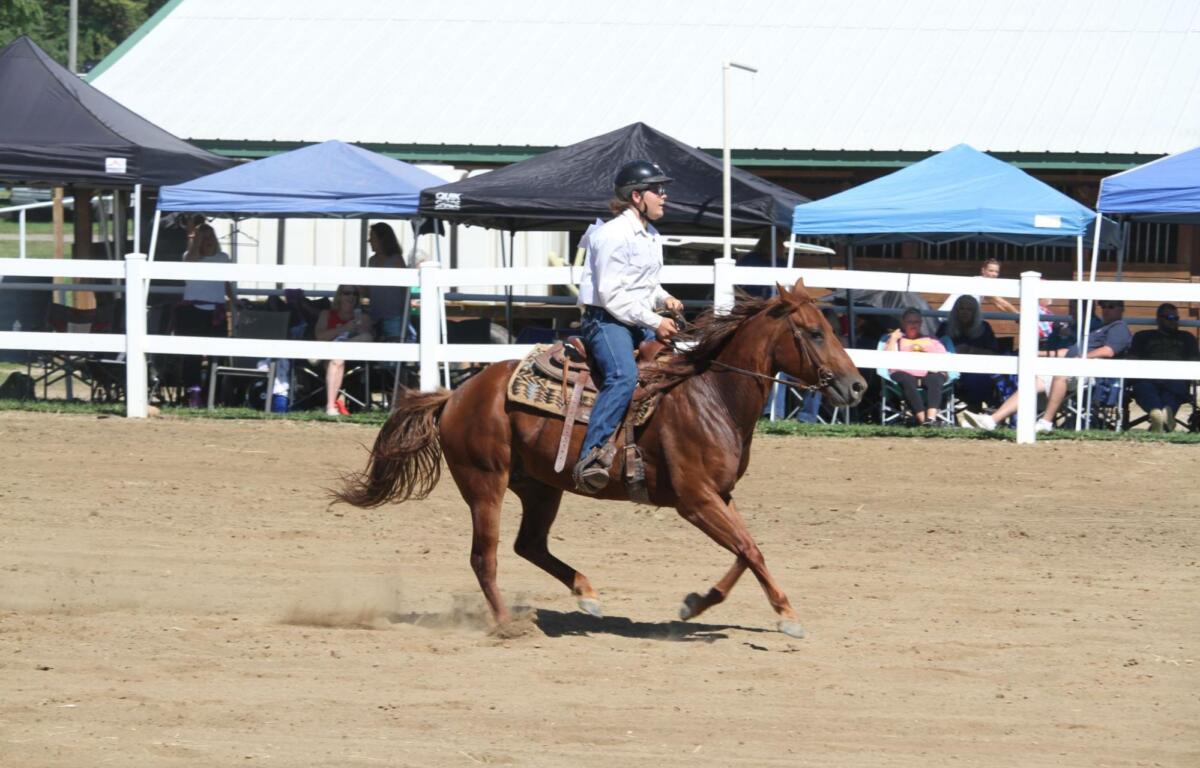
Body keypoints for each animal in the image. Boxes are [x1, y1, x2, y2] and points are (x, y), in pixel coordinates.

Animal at [335, 279, 866, 637]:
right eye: (813, 333)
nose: (857, 386)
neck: (710, 395)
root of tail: (457, 394)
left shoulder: (720, 494)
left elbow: (747, 549)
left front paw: (699, 603)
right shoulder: (695, 500)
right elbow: (748, 549)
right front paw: (786, 617)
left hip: (540, 486)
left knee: (528, 545)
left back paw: (586, 595)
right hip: (484, 482)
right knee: (485, 556)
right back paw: (508, 624)